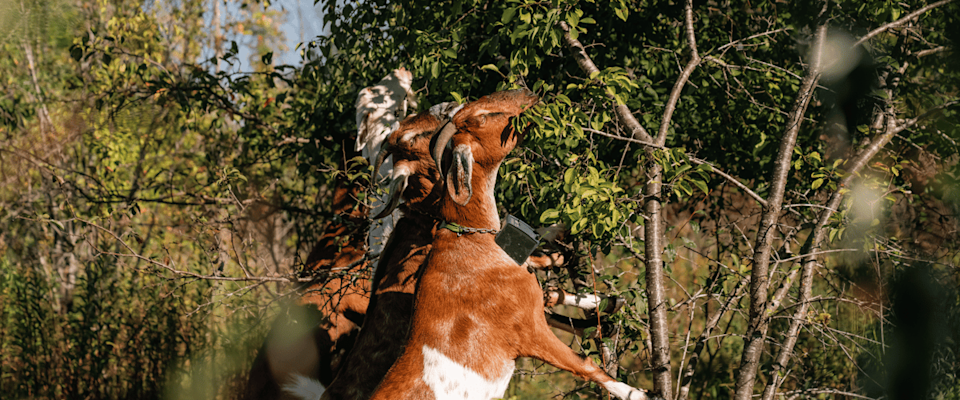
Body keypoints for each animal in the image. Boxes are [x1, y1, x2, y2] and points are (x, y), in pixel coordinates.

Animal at [366, 89, 655, 400]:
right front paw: (638, 393)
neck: (471, 241)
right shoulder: (528, 331)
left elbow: (554, 291)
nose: (524, 93)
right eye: (480, 118)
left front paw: (609, 301)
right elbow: (585, 366)